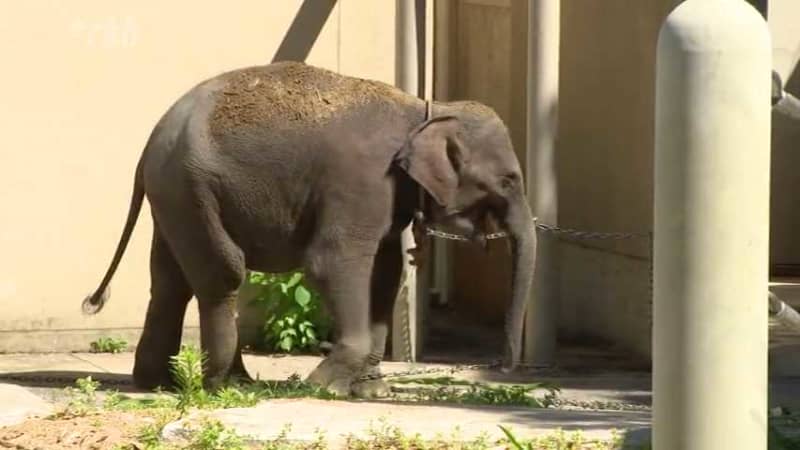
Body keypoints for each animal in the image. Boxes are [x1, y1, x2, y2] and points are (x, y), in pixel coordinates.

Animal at [83, 60, 536, 398]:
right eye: (509, 180)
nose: (501, 367)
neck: (426, 108)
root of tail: (149, 144)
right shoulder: (361, 181)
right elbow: (332, 263)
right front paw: (322, 387)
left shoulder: (389, 198)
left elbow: (386, 271)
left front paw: (370, 392)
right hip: (192, 189)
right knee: (222, 275)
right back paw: (225, 386)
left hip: (173, 198)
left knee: (169, 281)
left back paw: (157, 383)